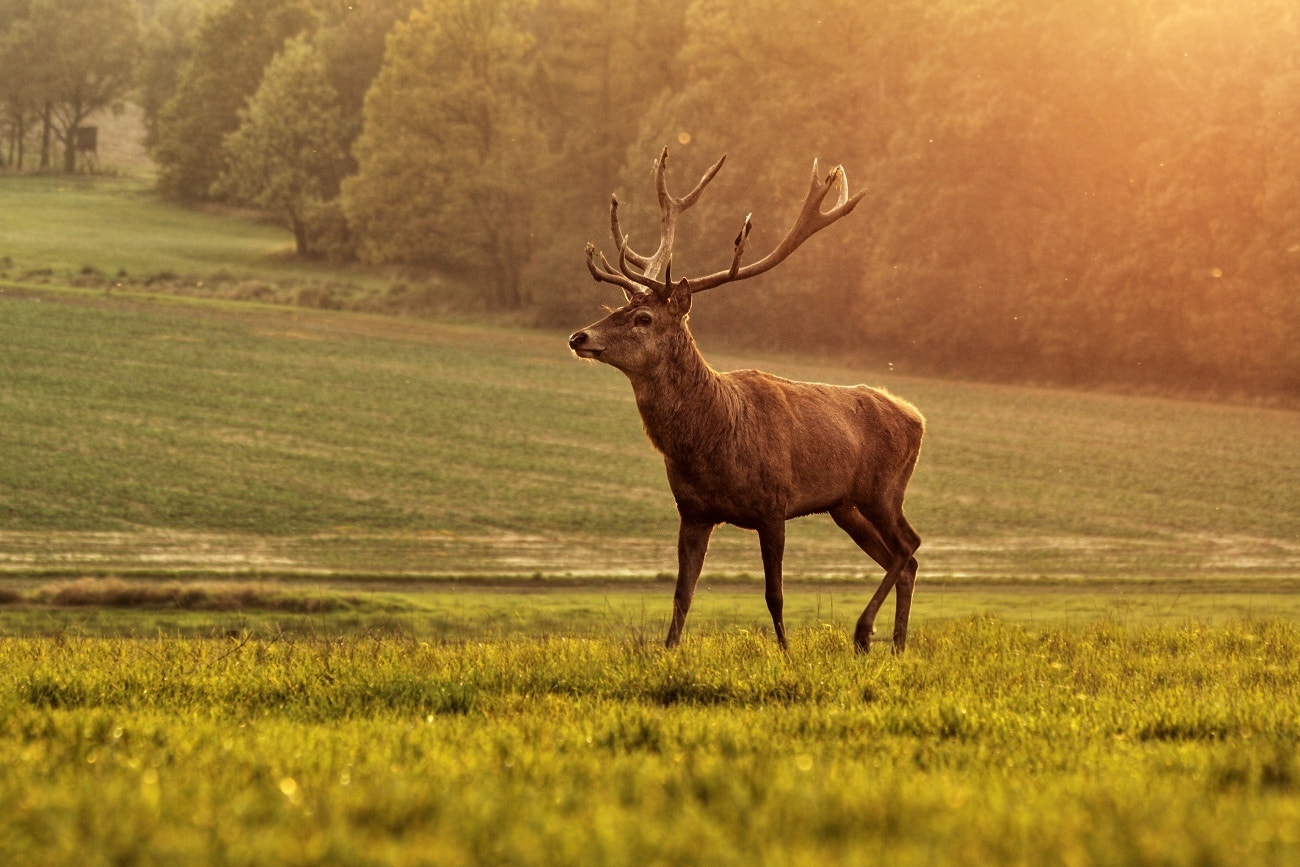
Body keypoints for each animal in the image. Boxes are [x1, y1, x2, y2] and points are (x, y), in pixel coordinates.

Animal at [568, 148, 925, 653]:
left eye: (643, 318)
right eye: (612, 308)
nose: (579, 336)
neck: (712, 441)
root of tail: (918, 417)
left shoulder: (774, 505)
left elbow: (774, 594)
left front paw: (786, 652)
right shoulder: (693, 512)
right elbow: (682, 594)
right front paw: (668, 652)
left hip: (883, 488)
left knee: (909, 545)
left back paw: (864, 631)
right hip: (845, 504)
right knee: (904, 557)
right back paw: (894, 643)